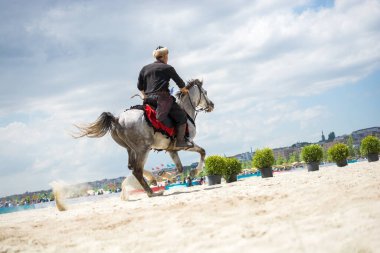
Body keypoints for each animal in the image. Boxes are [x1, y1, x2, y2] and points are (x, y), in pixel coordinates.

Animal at [74, 79, 214, 198]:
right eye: (205, 92)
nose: (212, 105)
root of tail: (117, 119)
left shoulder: (171, 149)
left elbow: (179, 168)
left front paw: (166, 176)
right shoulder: (187, 144)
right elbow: (202, 151)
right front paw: (194, 172)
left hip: (131, 149)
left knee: (132, 166)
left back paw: (152, 179)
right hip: (143, 149)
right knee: (137, 170)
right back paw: (152, 192)